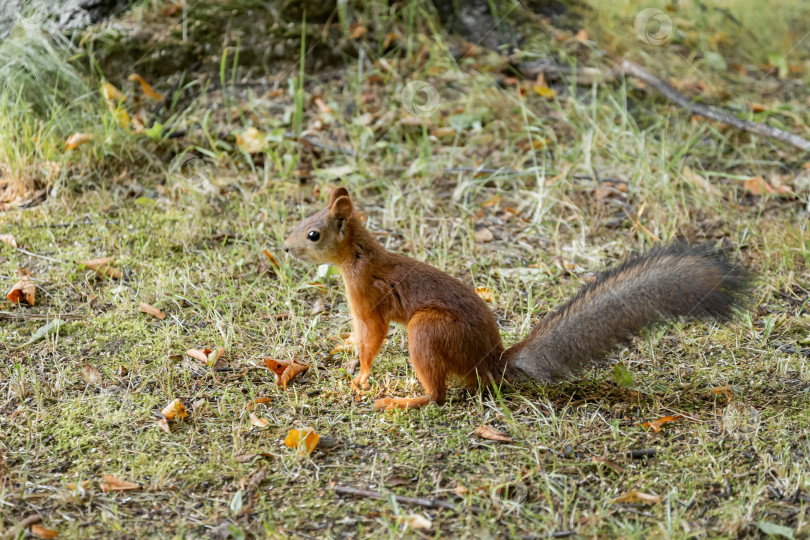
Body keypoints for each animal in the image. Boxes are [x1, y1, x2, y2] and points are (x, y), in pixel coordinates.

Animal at [284, 188, 752, 412]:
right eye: (302, 218)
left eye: (314, 234)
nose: (285, 247)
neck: (358, 255)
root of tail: (490, 363)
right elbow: (356, 336)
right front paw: (343, 346)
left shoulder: (368, 298)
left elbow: (371, 338)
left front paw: (360, 378)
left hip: (428, 330)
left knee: (439, 395)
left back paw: (404, 400)